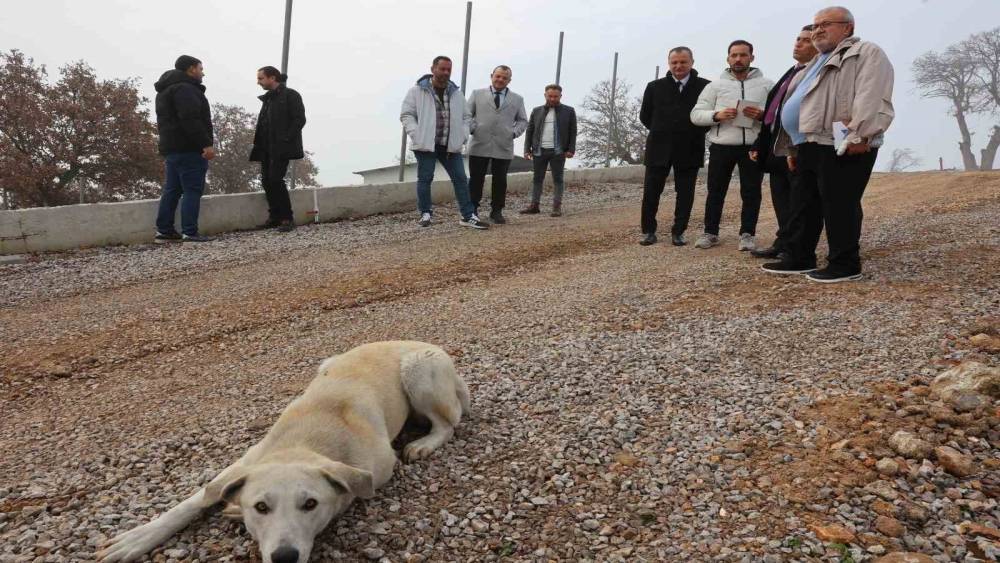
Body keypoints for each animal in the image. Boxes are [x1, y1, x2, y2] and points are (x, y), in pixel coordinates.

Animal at [95, 342, 470, 563]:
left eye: (310, 505)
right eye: (261, 507)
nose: (284, 558)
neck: (304, 442)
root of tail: (417, 342)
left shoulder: (377, 469)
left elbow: (350, 488)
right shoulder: (244, 461)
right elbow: (194, 500)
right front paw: (137, 538)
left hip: (418, 372)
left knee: (449, 423)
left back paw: (424, 443)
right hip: (328, 362)